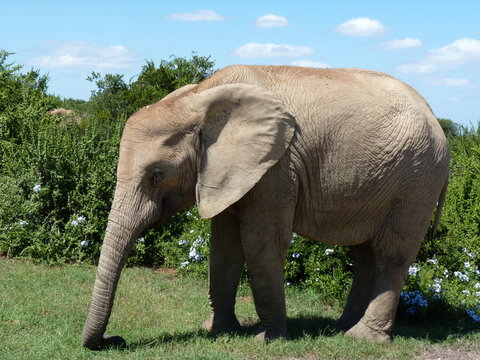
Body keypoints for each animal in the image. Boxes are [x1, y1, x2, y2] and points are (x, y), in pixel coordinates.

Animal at [81, 64, 450, 348]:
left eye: (157, 175)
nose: (115, 339)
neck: (201, 98)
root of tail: (435, 116)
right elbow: (224, 246)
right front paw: (218, 331)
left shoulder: (277, 167)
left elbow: (260, 240)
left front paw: (266, 339)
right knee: (364, 253)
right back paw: (340, 328)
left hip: (417, 178)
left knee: (392, 252)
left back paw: (362, 338)